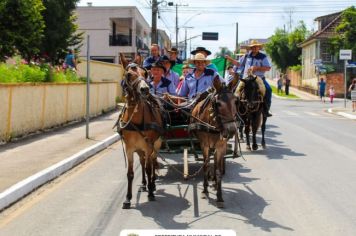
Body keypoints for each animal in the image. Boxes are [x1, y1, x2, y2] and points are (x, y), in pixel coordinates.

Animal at [119, 68, 164, 208]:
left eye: (145, 74)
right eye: (129, 74)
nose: (145, 89)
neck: (136, 120)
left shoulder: (148, 146)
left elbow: (149, 169)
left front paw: (151, 193)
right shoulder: (129, 148)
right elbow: (130, 173)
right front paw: (127, 198)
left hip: (156, 145)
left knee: (153, 162)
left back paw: (152, 184)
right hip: (139, 149)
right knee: (143, 162)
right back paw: (144, 184)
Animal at [189, 76, 239, 207]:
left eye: (235, 101)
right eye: (218, 103)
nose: (232, 130)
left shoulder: (221, 146)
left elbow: (218, 170)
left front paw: (219, 196)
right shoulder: (204, 145)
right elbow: (205, 166)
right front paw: (204, 190)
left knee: (217, 163)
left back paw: (215, 183)